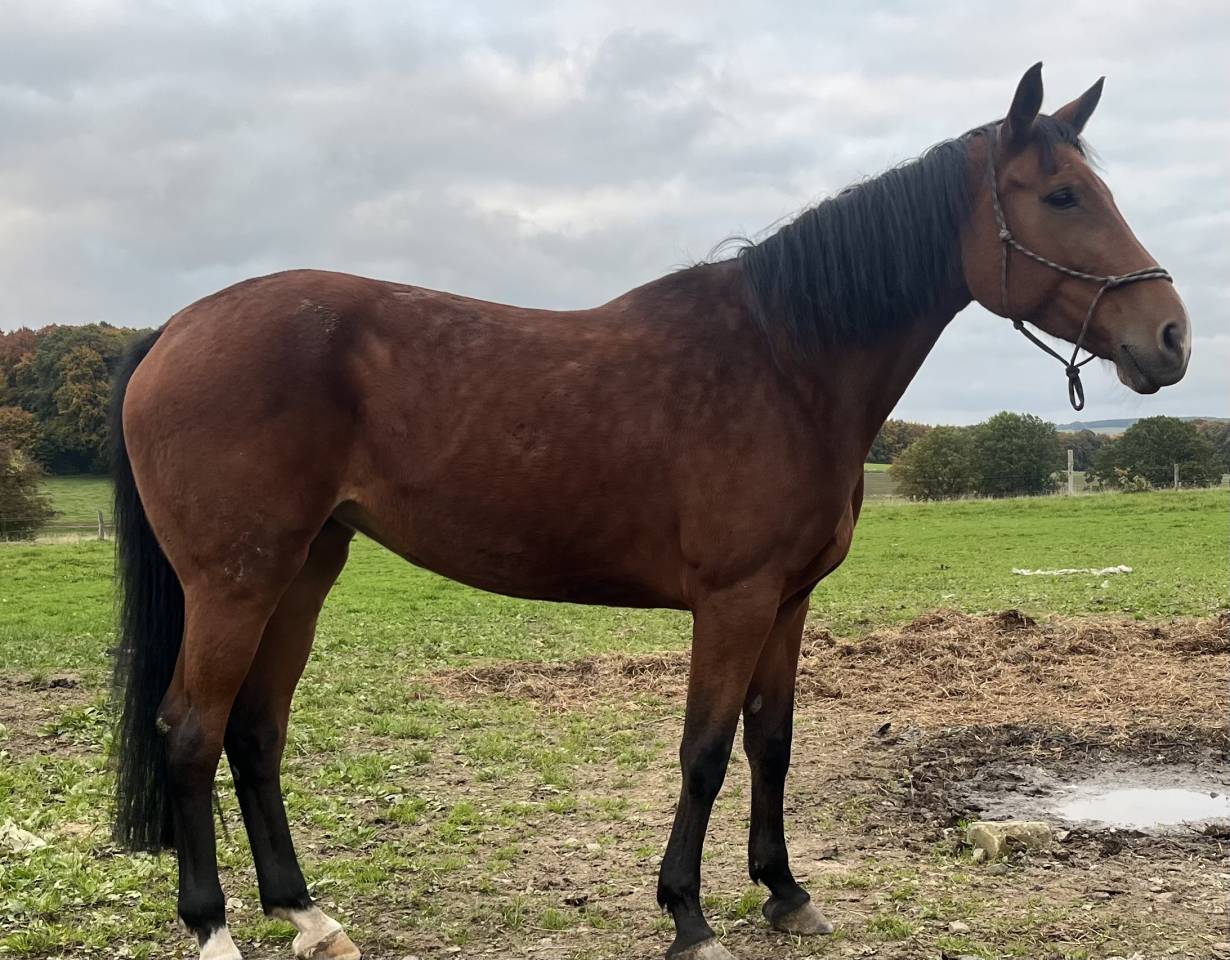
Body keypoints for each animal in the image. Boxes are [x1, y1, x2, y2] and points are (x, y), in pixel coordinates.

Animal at [109, 63, 1189, 960]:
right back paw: (213, 931)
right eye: (1061, 196)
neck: (786, 362)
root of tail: (176, 329)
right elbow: (704, 753)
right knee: (190, 730)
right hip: (237, 581)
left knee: (256, 732)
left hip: (306, 568)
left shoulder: (789, 603)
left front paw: (785, 893)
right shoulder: (734, 600)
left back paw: (308, 915)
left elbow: (771, 744)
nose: (1172, 338)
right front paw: (690, 917)